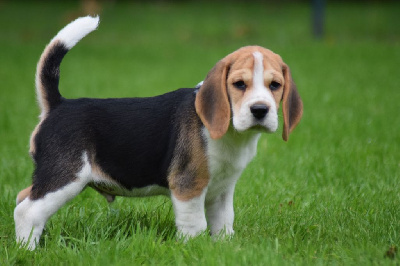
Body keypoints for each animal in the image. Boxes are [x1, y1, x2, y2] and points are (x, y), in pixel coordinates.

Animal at [14, 16, 304, 249]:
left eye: (275, 85)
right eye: (239, 84)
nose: (260, 110)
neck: (231, 134)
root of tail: (58, 104)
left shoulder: (222, 189)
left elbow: (223, 223)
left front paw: (224, 248)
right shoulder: (188, 186)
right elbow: (195, 225)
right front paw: (193, 249)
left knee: (22, 199)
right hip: (66, 177)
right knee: (28, 211)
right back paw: (28, 250)